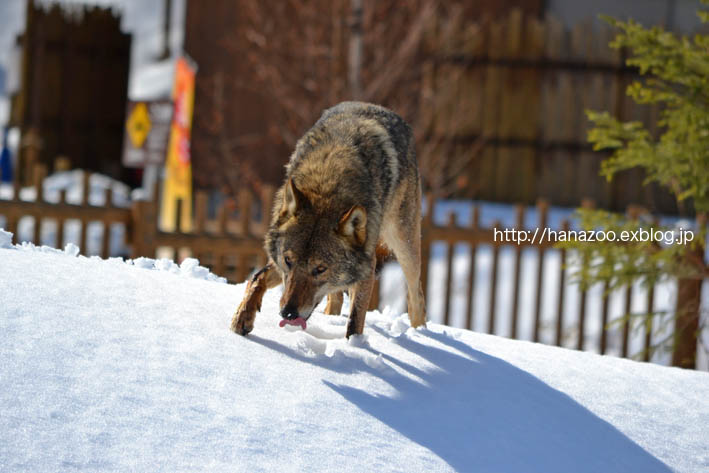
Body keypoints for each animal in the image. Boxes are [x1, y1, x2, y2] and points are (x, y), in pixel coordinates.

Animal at [230, 101, 424, 338]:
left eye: (320, 269)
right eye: (288, 260)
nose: (288, 313)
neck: (327, 185)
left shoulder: (367, 267)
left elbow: (355, 320)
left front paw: (353, 346)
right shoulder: (279, 262)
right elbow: (257, 277)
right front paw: (242, 317)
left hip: (405, 249)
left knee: (416, 297)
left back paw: (419, 333)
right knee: (335, 297)